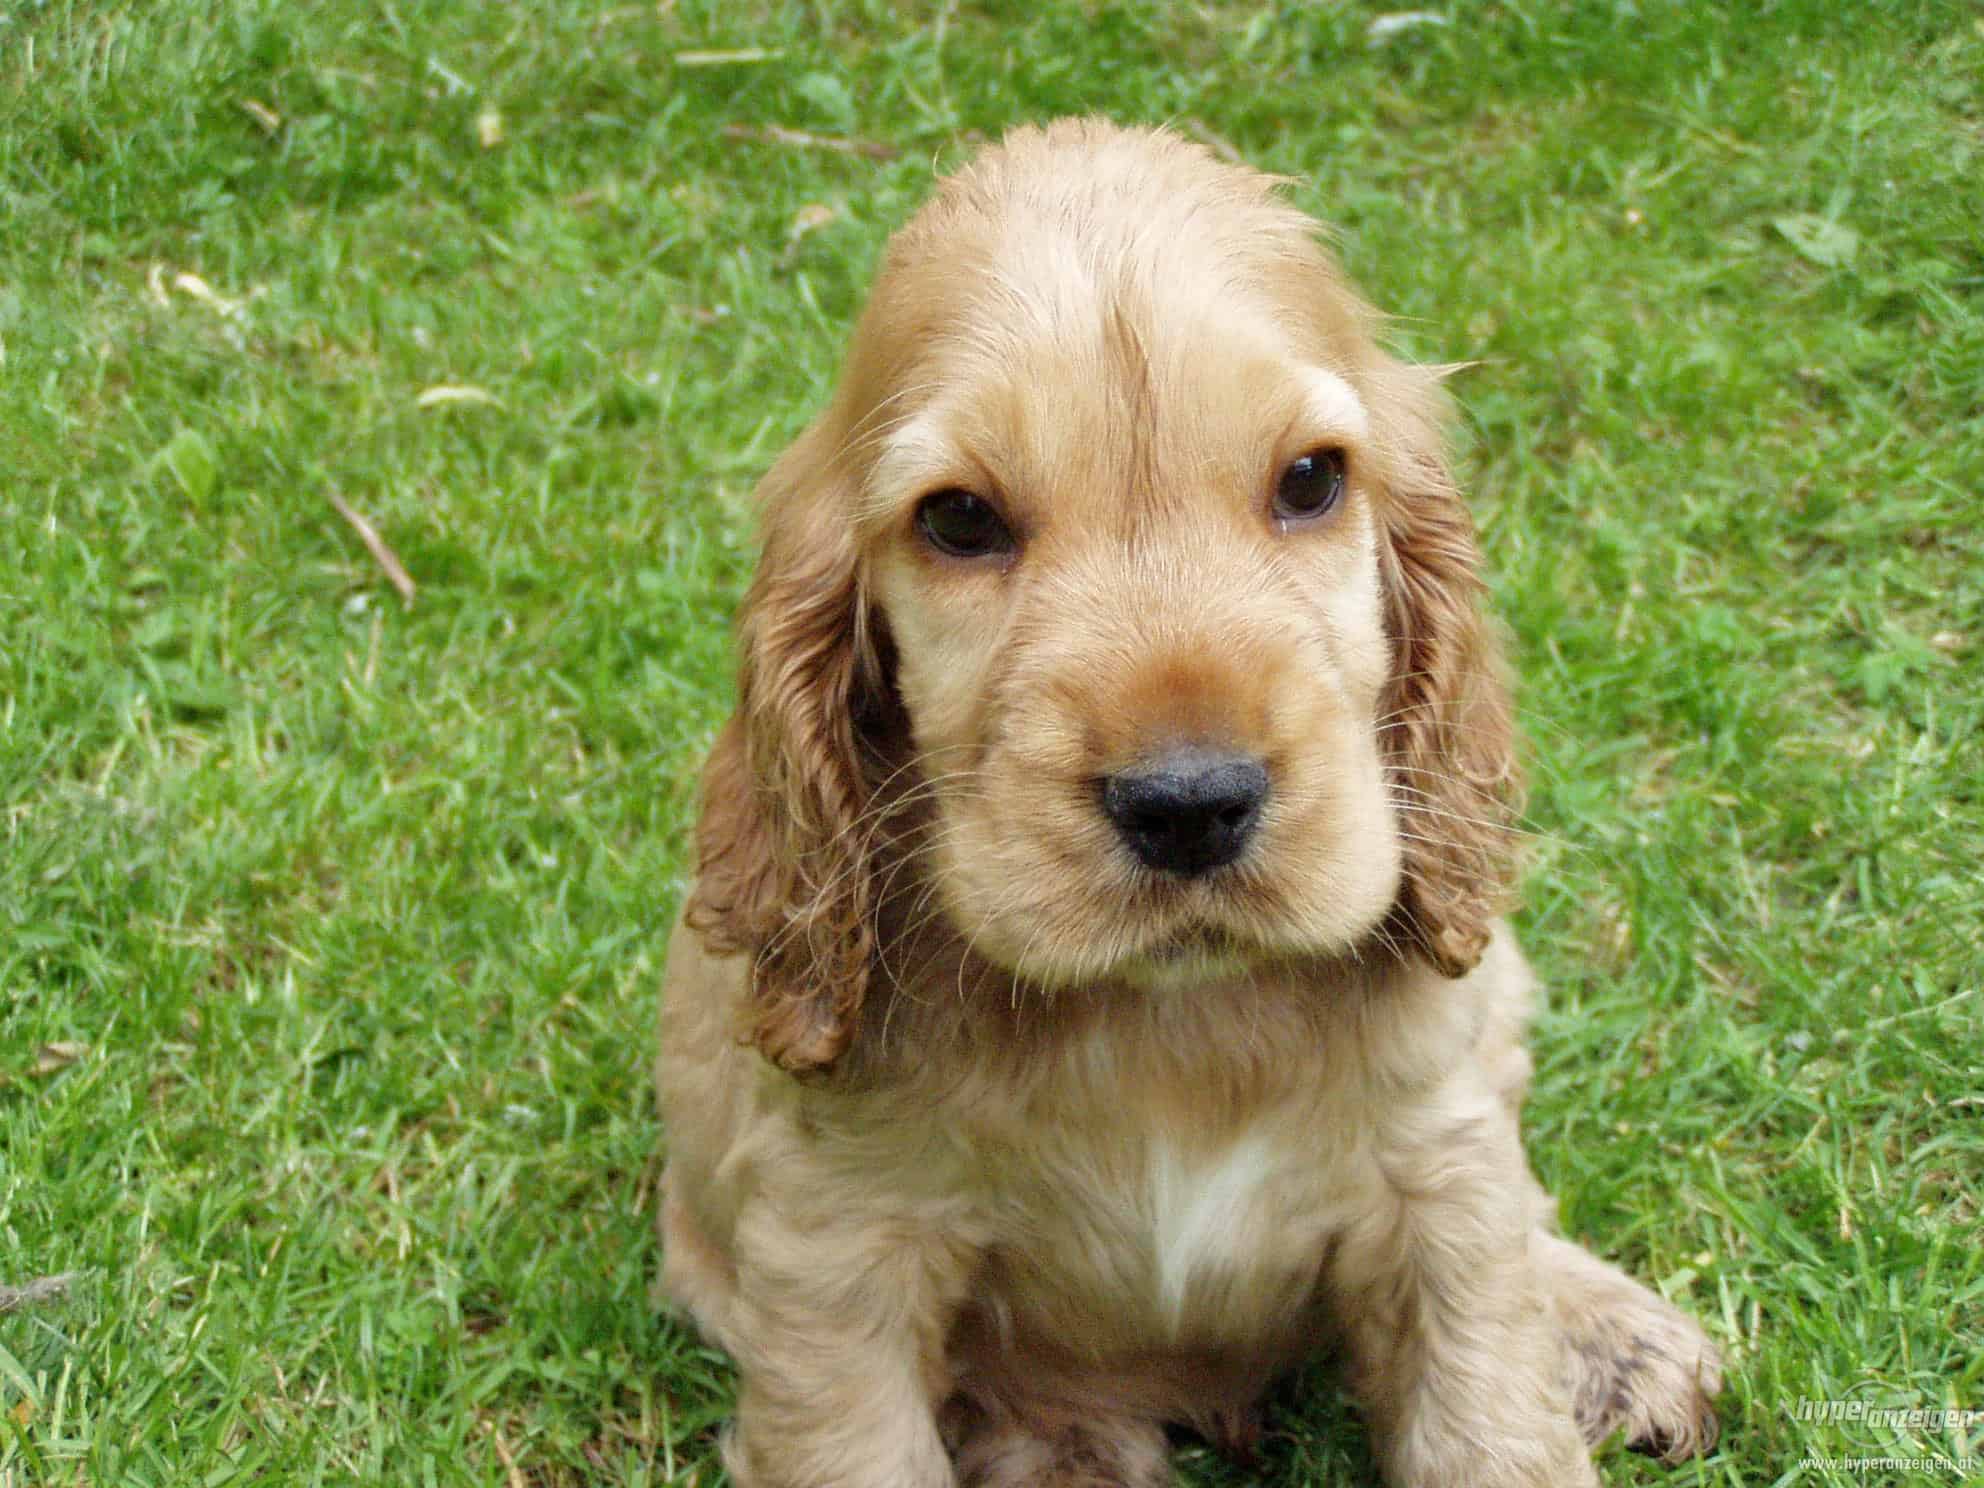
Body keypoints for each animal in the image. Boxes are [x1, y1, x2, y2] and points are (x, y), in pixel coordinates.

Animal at [654, 119, 1722, 1488]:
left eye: (1311, 480)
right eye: (959, 519)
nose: (1188, 805)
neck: (1171, 1025)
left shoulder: (1438, 1188)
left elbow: (1492, 1405)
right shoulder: (835, 1254)